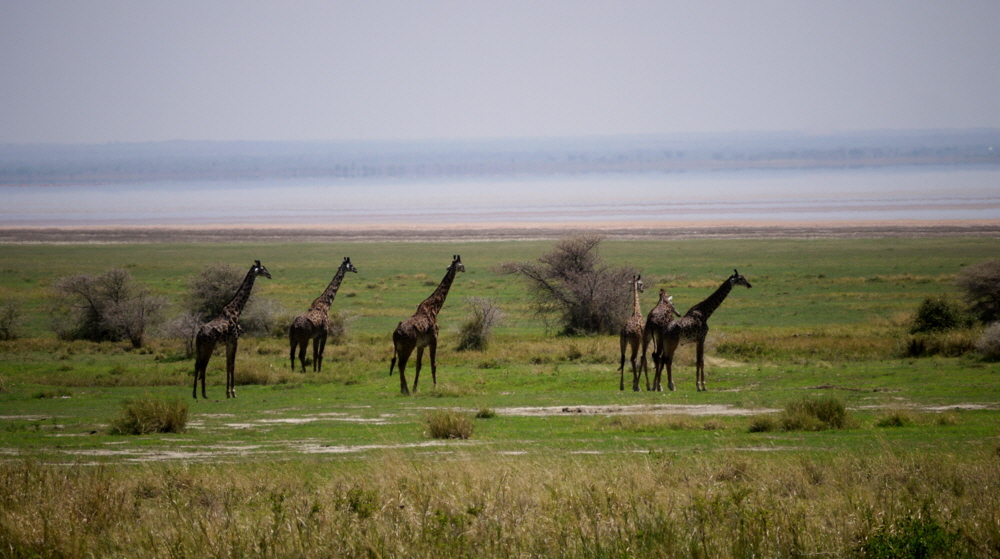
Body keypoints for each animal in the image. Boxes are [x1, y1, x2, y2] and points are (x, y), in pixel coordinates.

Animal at [189, 260, 270, 400]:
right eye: (263, 268)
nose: (269, 275)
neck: (237, 309)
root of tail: (199, 335)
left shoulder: (228, 343)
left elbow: (227, 365)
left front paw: (227, 392)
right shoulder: (234, 340)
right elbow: (232, 365)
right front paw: (233, 392)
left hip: (199, 348)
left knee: (197, 364)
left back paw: (194, 394)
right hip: (208, 346)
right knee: (203, 365)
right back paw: (204, 394)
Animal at [390, 256, 468, 396]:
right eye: (461, 265)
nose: (465, 269)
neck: (434, 308)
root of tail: (395, 334)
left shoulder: (421, 345)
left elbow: (418, 365)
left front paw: (415, 388)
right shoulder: (434, 339)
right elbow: (434, 364)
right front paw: (435, 386)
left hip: (399, 347)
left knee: (399, 364)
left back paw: (404, 389)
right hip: (407, 346)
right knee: (401, 365)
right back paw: (406, 390)